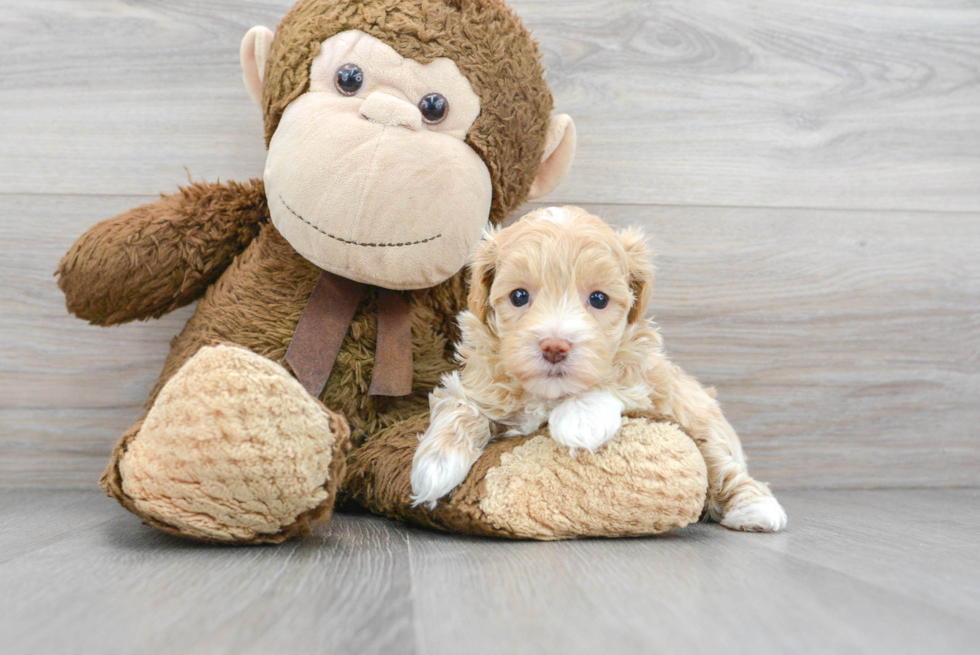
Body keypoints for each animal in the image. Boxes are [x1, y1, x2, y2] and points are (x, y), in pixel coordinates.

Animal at [408, 206, 788, 532]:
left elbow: (612, 379)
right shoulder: (477, 382)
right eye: (518, 296)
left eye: (599, 299)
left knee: (726, 468)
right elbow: (461, 406)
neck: (547, 394)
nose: (555, 347)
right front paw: (436, 464)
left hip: (705, 425)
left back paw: (756, 509)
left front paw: (581, 420)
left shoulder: (642, 372)